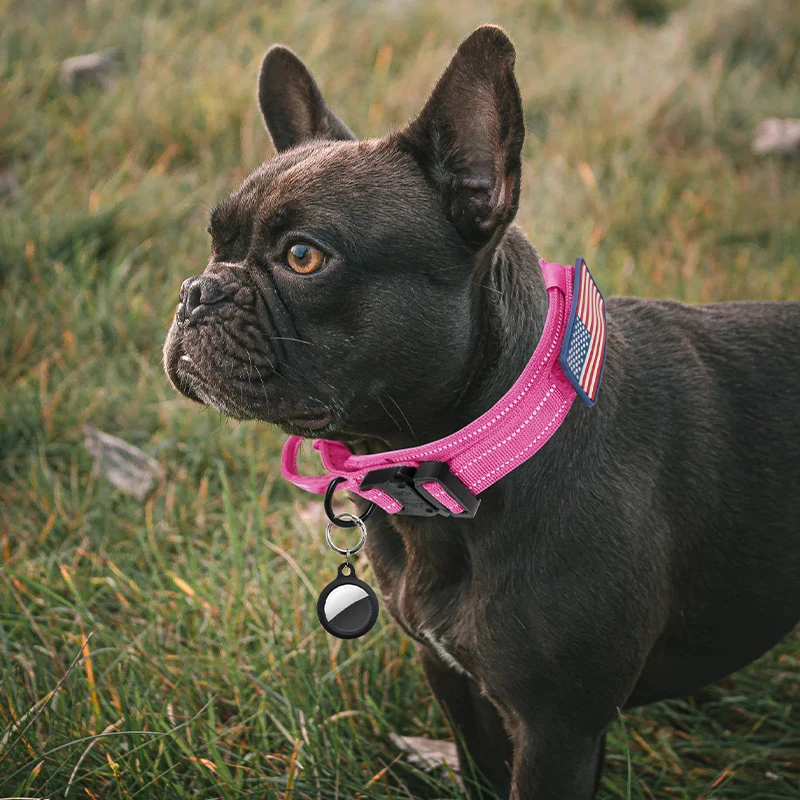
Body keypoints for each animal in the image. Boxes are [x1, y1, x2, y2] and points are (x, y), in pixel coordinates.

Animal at [164, 26, 800, 800]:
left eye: (304, 257)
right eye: (214, 243)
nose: (197, 291)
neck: (473, 460)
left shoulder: (559, 732)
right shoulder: (456, 683)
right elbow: (479, 772)